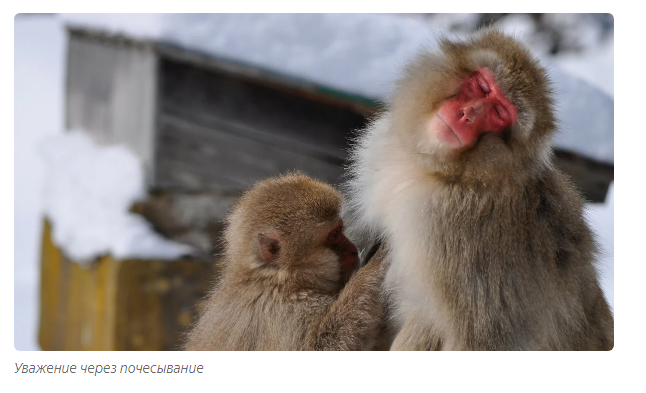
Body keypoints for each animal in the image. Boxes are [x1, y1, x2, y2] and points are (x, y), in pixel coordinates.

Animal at [184, 173, 384, 350]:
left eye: (340, 229)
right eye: (334, 234)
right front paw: (376, 264)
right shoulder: (285, 313)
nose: (353, 250)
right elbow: (324, 347)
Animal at [346, 30, 616, 350]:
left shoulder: (459, 230)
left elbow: (485, 337)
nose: (467, 114)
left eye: (499, 113)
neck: (449, 174)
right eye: (483, 87)